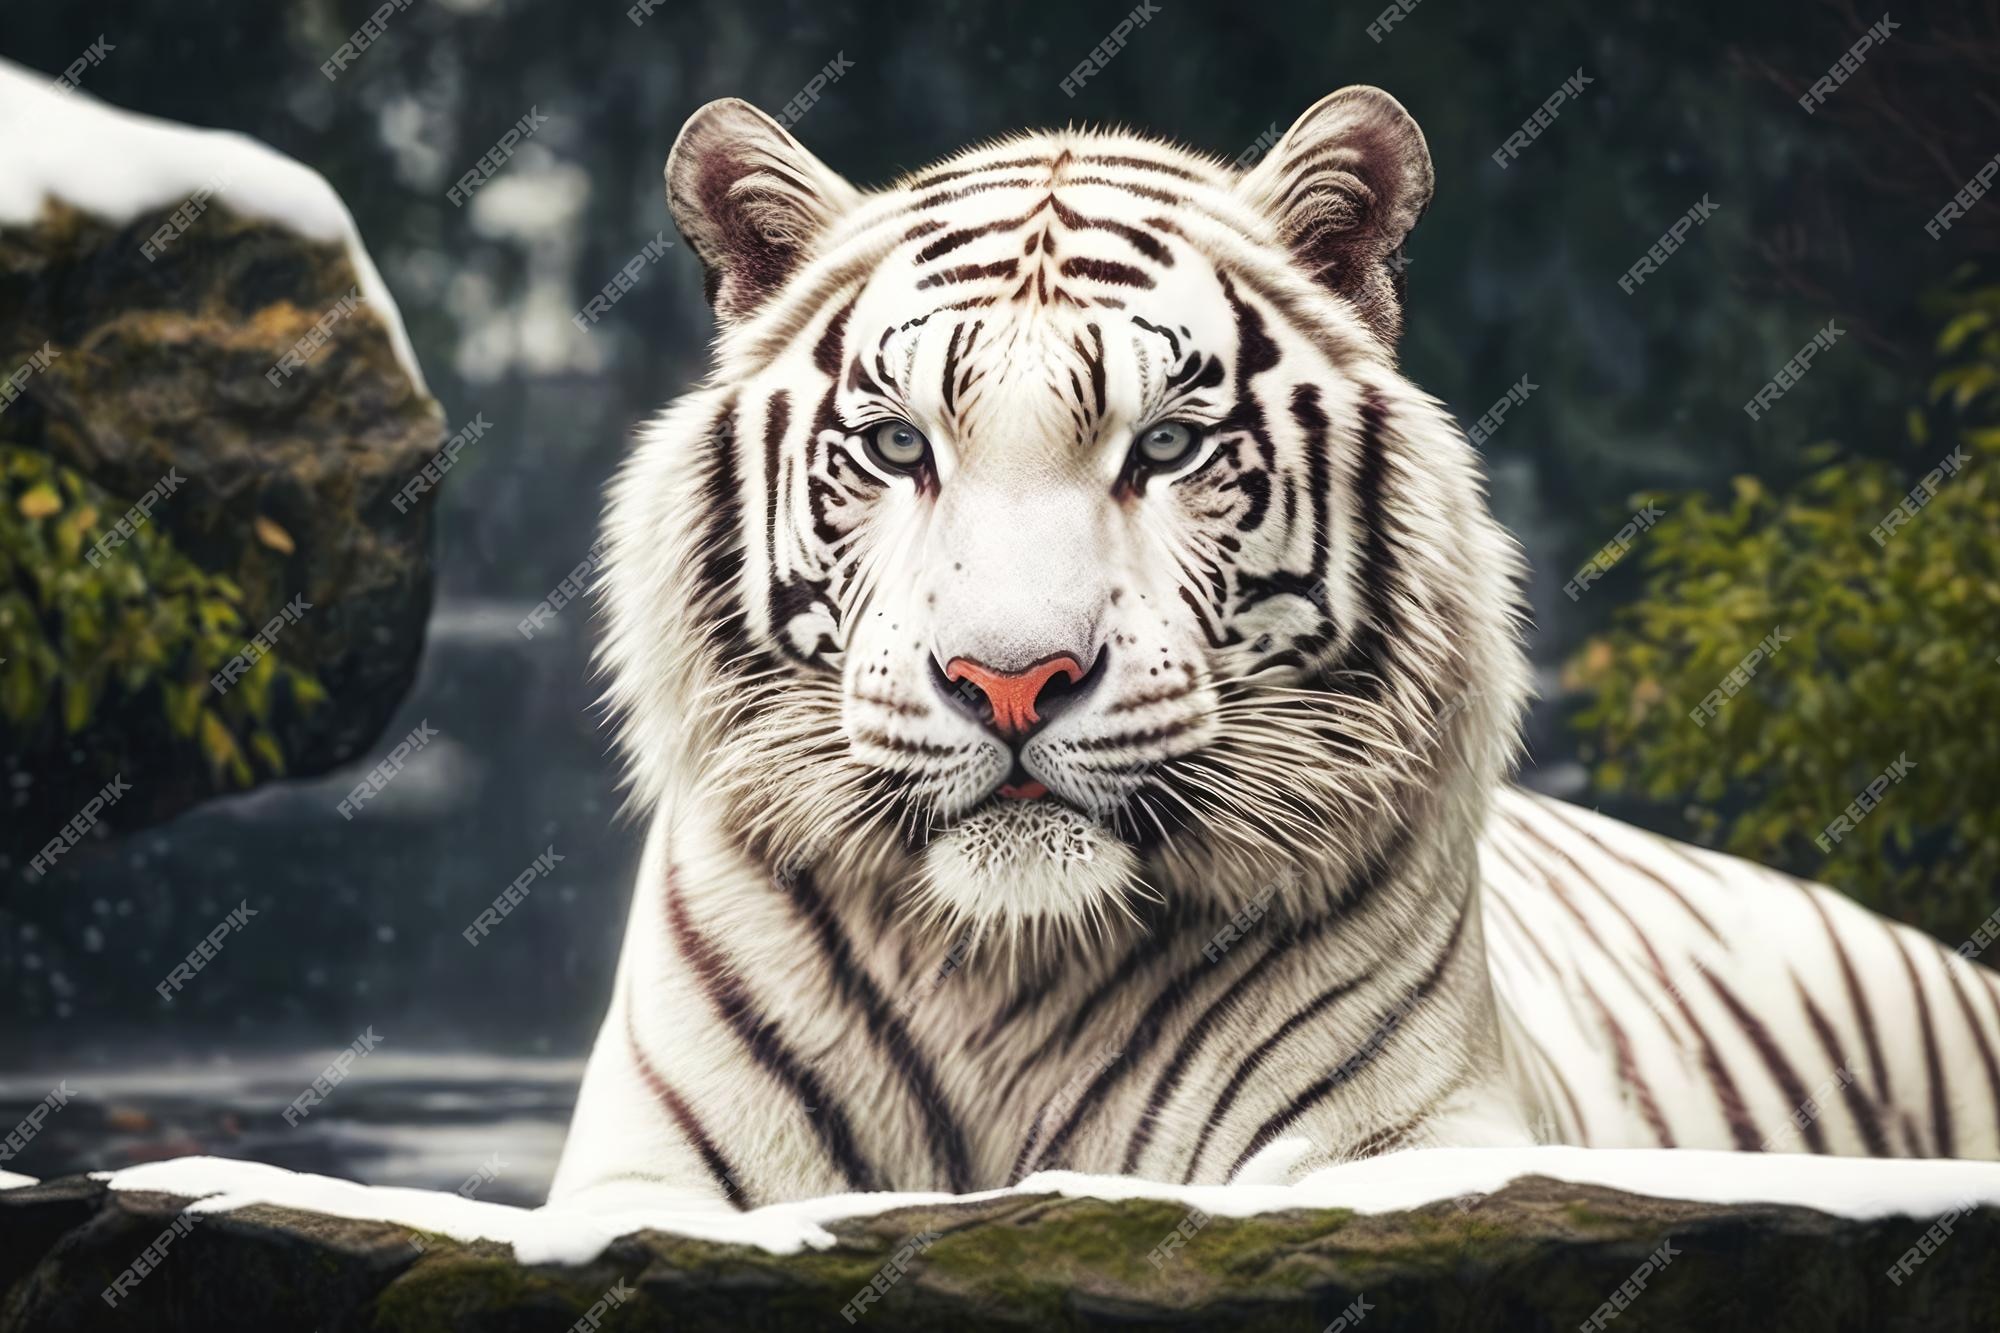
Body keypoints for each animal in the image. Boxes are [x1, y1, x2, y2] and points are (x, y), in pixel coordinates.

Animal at [552, 85, 2000, 1200]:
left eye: (1165, 446)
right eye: (902, 445)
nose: (1008, 683)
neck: (1011, 965)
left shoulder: (1405, 1138)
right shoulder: (649, 1172)